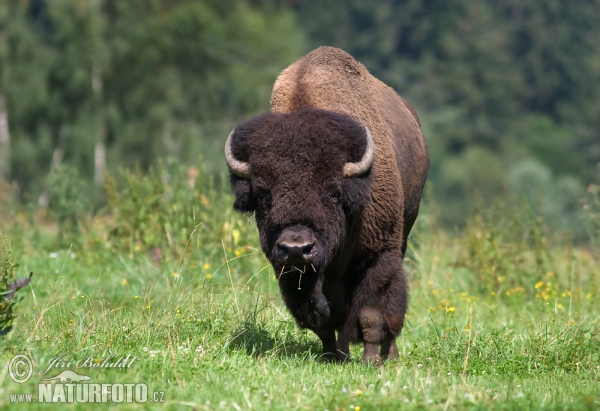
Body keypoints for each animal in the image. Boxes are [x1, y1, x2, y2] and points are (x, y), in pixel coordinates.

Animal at [224, 46, 426, 366]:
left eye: (332, 192)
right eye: (263, 195)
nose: (296, 249)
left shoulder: (379, 255)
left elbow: (371, 313)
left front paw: (371, 360)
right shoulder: (294, 276)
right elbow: (323, 320)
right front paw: (332, 356)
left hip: (403, 237)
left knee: (392, 308)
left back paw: (389, 355)